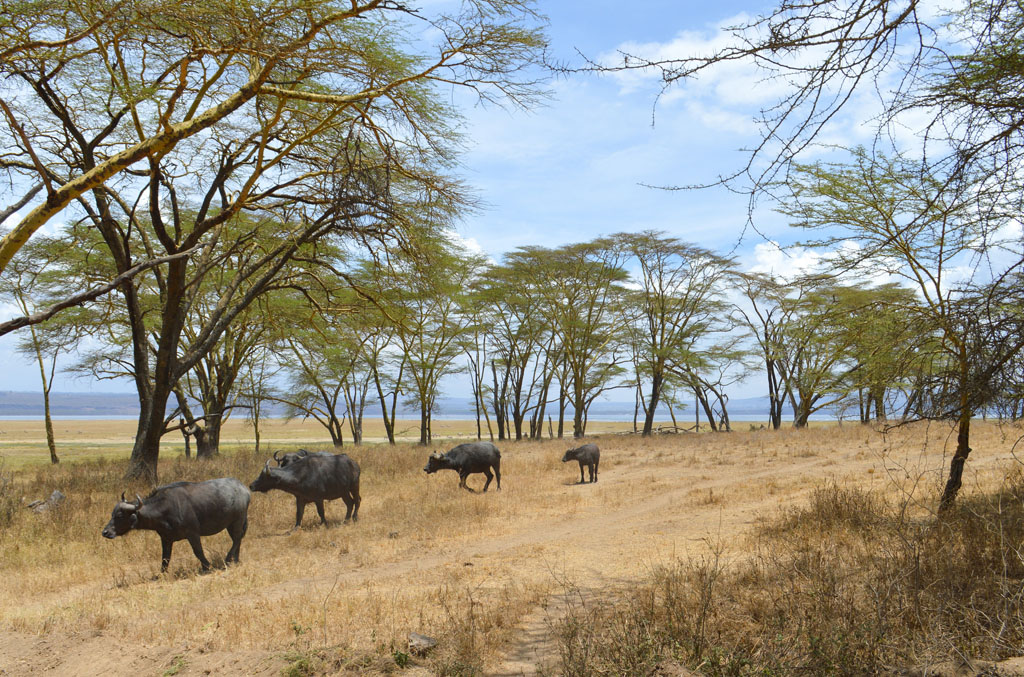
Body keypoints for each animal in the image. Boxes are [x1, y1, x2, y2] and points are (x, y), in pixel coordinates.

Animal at [100, 475, 251, 569]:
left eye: (120, 516)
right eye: (112, 514)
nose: (105, 532)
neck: (165, 509)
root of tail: (244, 489)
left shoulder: (193, 534)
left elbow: (198, 552)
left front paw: (207, 566)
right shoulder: (166, 539)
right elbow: (165, 558)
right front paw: (161, 574)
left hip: (238, 520)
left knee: (237, 539)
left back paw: (228, 559)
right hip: (230, 524)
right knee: (237, 540)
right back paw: (235, 560)